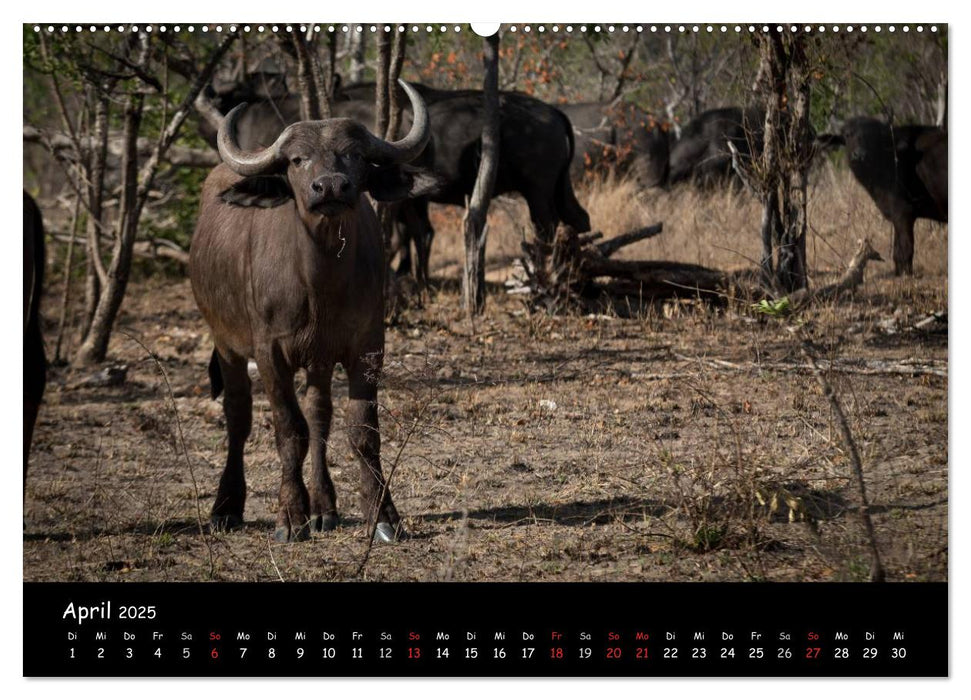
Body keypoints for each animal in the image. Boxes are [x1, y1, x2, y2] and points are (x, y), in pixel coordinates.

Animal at [190, 80, 436, 540]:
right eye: (298, 160)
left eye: (354, 155)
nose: (331, 187)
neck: (320, 283)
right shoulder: (270, 353)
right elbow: (289, 431)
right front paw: (290, 516)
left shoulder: (367, 347)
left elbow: (361, 431)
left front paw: (382, 514)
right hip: (227, 345)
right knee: (239, 416)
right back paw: (226, 507)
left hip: (319, 359)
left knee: (320, 415)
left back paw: (324, 507)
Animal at [820, 119, 948, 274]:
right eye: (847, 135)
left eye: (871, 136)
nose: (859, 155)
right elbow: (897, 251)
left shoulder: (903, 213)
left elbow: (904, 251)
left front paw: (905, 274)